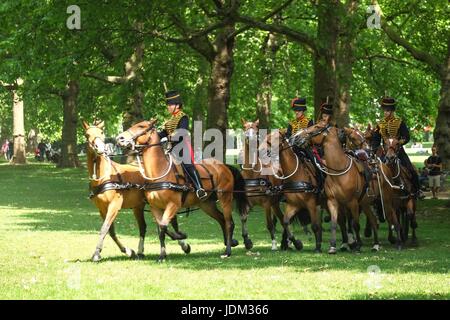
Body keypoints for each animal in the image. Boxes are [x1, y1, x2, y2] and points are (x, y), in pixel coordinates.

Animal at [116, 119, 250, 262]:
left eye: (141, 126)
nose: (120, 138)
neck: (158, 172)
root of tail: (224, 166)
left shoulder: (173, 205)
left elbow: (164, 226)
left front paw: (173, 247)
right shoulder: (155, 207)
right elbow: (161, 229)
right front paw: (167, 250)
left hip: (225, 198)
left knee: (229, 222)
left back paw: (228, 251)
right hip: (206, 204)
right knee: (221, 219)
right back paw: (230, 242)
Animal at [239, 119, 284, 250]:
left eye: (256, 127)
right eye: (245, 127)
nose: (250, 138)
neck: (251, 174)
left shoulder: (266, 204)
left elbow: (269, 224)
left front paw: (274, 243)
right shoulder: (247, 202)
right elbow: (243, 218)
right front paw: (247, 241)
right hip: (275, 203)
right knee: (282, 218)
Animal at [292, 121, 394, 254]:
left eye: (317, 127)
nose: (297, 136)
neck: (339, 171)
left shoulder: (353, 203)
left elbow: (355, 224)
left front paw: (357, 246)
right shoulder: (333, 202)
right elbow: (335, 223)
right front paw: (333, 246)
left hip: (385, 200)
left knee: (390, 217)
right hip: (365, 203)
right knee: (372, 220)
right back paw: (376, 245)